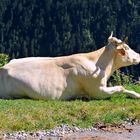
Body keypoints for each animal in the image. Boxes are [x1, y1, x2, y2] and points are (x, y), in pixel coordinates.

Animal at [0, 32, 140, 99]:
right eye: (127, 48)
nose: (139, 55)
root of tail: (4, 67)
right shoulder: (97, 91)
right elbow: (121, 87)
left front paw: (136, 95)